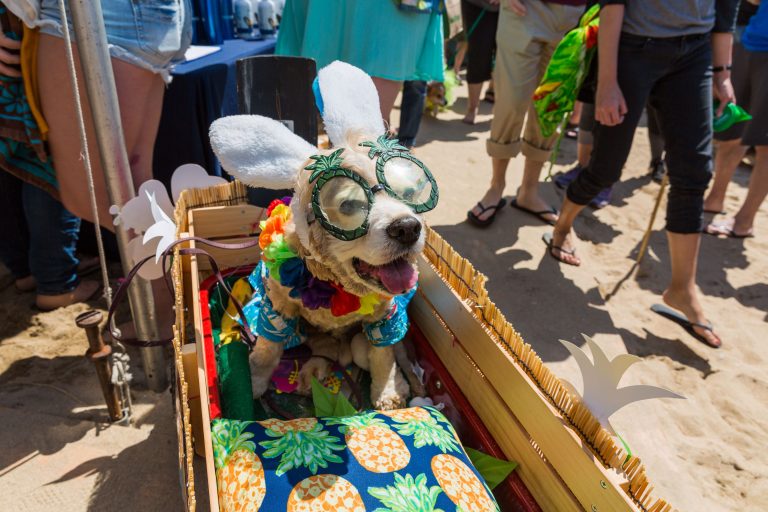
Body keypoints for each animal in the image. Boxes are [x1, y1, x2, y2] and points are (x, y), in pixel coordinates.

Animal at [210, 61, 436, 412]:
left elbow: (382, 354)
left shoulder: (385, 316)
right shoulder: (277, 307)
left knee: (359, 352)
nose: (408, 228)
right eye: (349, 205)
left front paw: (386, 391)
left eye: (410, 193)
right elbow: (268, 347)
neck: (336, 286)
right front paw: (254, 380)